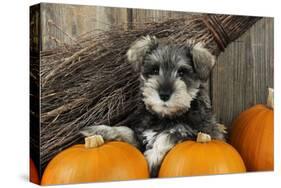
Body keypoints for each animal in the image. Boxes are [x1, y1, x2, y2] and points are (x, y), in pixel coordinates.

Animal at [80, 35, 224, 178]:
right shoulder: (139, 136)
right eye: (154, 70)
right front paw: (99, 131)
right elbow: (126, 131)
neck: (164, 117)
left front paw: (152, 157)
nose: (164, 94)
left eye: (182, 72)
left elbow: (170, 134)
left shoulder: (200, 132)